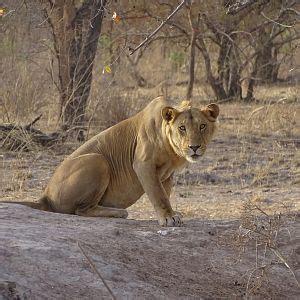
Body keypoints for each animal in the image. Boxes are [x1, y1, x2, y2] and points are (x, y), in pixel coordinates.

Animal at [4, 97, 219, 226]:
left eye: (202, 126)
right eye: (182, 128)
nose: (194, 147)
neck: (172, 151)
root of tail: (45, 195)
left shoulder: (166, 176)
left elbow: (163, 194)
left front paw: (169, 214)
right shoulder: (143, 164)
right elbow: (159, 196)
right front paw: (168, 217)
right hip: (98, 160)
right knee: (81, 210)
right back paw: (119, 212)